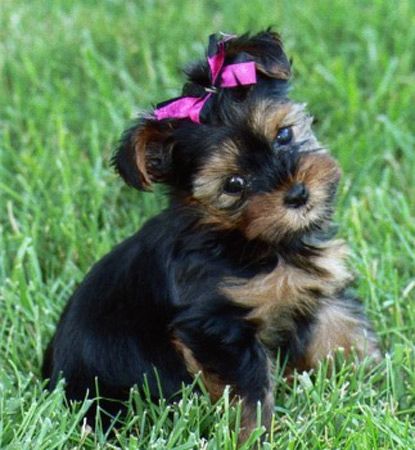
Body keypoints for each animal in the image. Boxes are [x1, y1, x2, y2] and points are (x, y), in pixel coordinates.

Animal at [42, 29, 380, 442]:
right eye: (234, 184)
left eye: (283, 135)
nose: (298, 194)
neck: (251, 241)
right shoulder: (215, 325)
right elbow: (250, 391)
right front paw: (255, 437)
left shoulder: (315, 290)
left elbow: (342, 333)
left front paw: (377, 385)